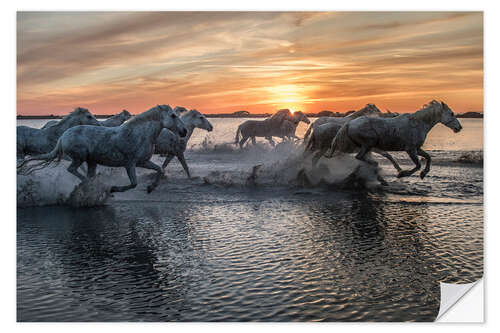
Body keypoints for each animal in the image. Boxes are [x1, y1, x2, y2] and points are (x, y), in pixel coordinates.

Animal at [326, 100, 462, 179]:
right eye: (451, 113)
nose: (459, 128)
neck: (419, 123)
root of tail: (349, 123)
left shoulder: (417, 148)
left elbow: (428, 157)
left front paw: (423, 173)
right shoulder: (410, 149)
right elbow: (418, 164)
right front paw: (402, 174)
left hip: (366, 146)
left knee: (359, 157)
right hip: (368, 144)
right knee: (359, 157)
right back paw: (374, 165)